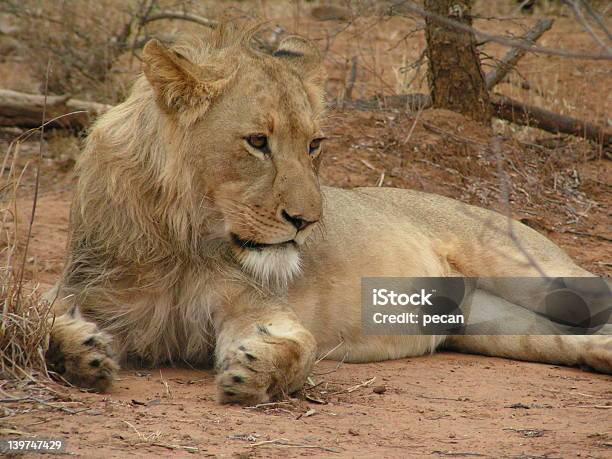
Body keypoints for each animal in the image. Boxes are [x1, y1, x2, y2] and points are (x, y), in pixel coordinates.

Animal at [44, 23, 612, 404]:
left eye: (314, 144)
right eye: (257, 142)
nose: (307, 221)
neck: (183, 237)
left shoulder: (254, 302)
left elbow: (300, 345)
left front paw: (257, 370)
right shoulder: (88, 286)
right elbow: (43, 318)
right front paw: (85, 352)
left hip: (546, 277)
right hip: (495, 327)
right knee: (575, 338)